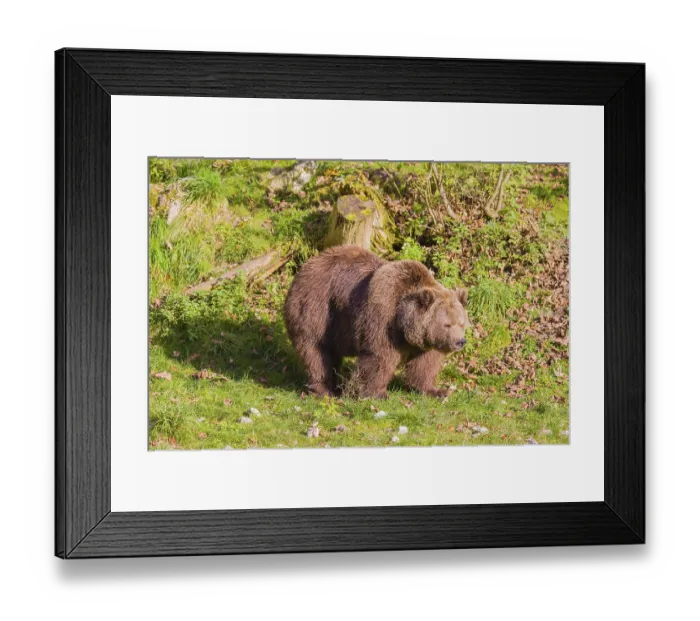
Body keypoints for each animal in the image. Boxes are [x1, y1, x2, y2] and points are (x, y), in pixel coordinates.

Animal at [283, 245, 470, 399]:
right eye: (447, 324)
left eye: (461, 323)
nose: (460, 341)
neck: (404, 326)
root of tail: (305, 266)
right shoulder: (383, 316)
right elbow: (379, 355)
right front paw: (377, 393)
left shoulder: (425, 342)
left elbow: (425, 364)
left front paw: (436, 390)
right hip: (318, 308)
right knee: (316, 351)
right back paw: (324, 390)